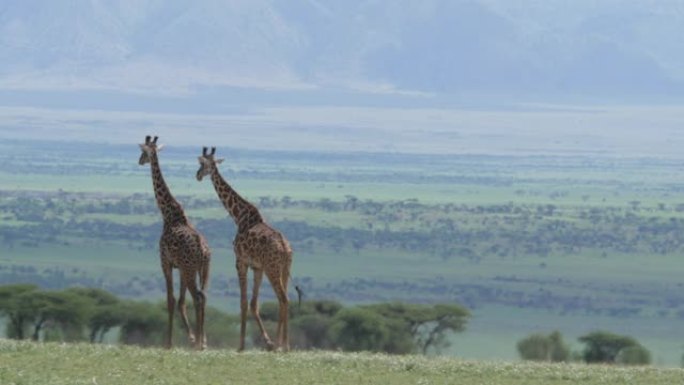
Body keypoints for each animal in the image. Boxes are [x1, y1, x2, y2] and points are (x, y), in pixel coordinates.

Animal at [139, 135, 211, 348]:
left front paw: (169, 342)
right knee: (203, 296)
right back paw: (202, 341)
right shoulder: (180, 267)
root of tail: (203, 250)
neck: (169, 214)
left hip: (190, 269)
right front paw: (191, 337)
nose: (140, 161)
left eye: (143, 152)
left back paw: (199, 344)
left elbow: (170, 300)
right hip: (203, 269)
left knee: (197, 297)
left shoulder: (166, 262)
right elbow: (180, 301)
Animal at [198, 146, 294, 350]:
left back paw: (282, 345)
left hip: (272, 269)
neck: (239, 215)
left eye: (203, 164)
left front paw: (241, 345)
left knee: (283, 298)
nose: (198, 175)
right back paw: (282, 344)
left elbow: (242, 302)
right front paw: (267, 342)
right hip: (284, 268)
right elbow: (253, 303)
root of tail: (284, 248)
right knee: (283, 300)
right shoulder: (257, 267)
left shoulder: (240, 262)